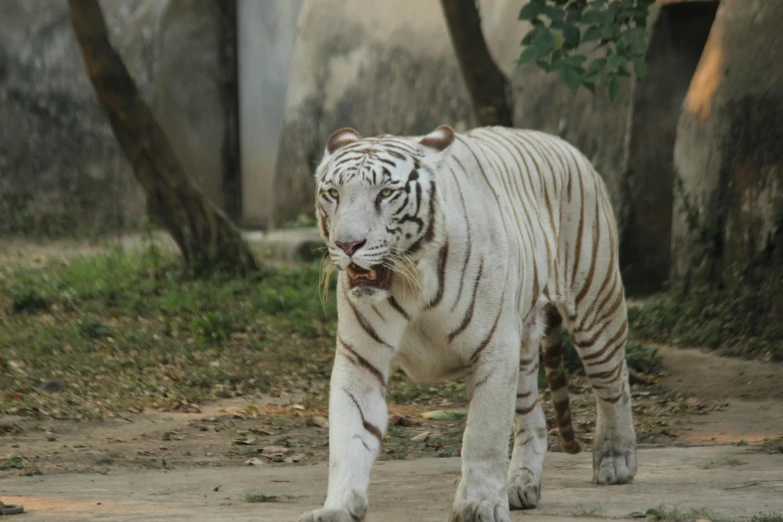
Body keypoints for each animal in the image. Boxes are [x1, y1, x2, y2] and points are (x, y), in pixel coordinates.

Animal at [300, 125, 636, 520]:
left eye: (385, 193)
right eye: (333, 194)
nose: (347, 244)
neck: (411, 280)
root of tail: (565, 145)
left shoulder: (494, 353)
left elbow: (482, 437)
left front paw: (479, 504)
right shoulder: (360, 361)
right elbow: (350, 438)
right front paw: (336, 507)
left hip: (596, 308)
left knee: (615, 385)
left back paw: (616, 461)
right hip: (522, 347)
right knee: (534, 419)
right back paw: (520, 485)